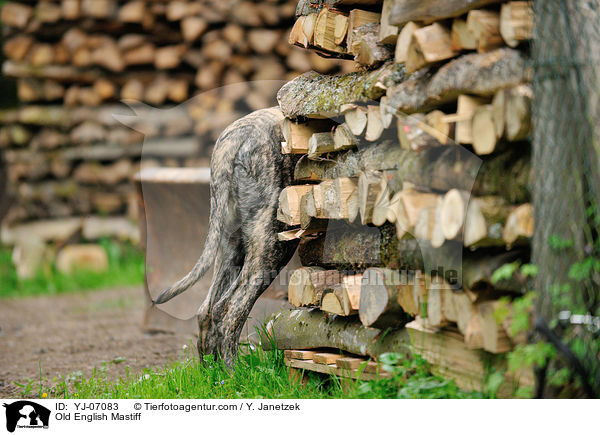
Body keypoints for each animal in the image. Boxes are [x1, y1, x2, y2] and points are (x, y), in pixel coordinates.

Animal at [152, 108, 298, 364]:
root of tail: (238, 136)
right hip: (273, 245)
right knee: (229, 309)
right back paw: (236, 369)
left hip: (231, 246)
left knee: (207, 311)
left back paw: (213, 369)